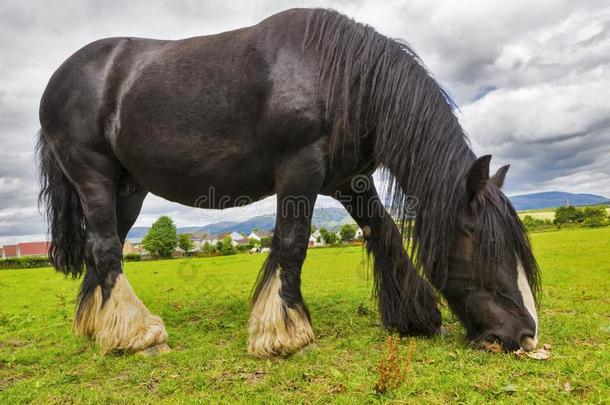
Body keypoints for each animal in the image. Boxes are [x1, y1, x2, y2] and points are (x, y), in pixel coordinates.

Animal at [36, 7, 536, 356]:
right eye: (485, 244)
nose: (525, 335)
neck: (341, 75)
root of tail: (58, 78)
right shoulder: (300, 168)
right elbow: (293, 244)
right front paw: (285, 334)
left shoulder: (350, 180)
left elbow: (385, 234)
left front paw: (417, 317)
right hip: (93, 177)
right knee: (105, 248)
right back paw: (140, 336)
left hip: (127, 190)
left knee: (107, 248)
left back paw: (102, 329)